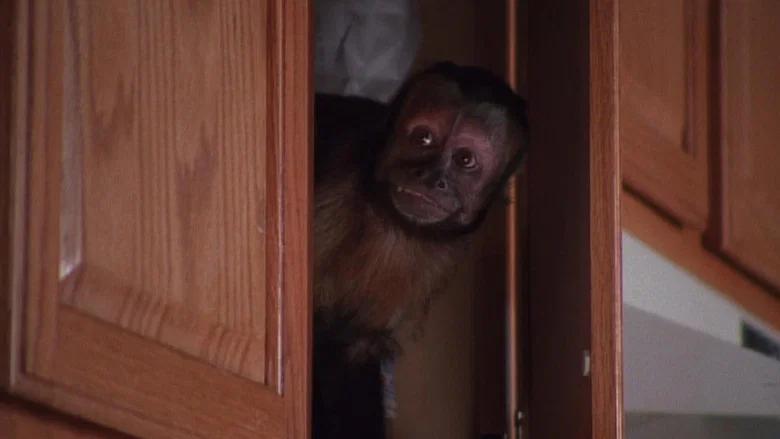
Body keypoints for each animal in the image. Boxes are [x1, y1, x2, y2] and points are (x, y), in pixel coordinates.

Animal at [313, 62, 528, 439]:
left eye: (465, 159)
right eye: (424, 138)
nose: (430, 177)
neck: (385, 217)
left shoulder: (426, 263)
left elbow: (352, 348)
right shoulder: (334, 181)